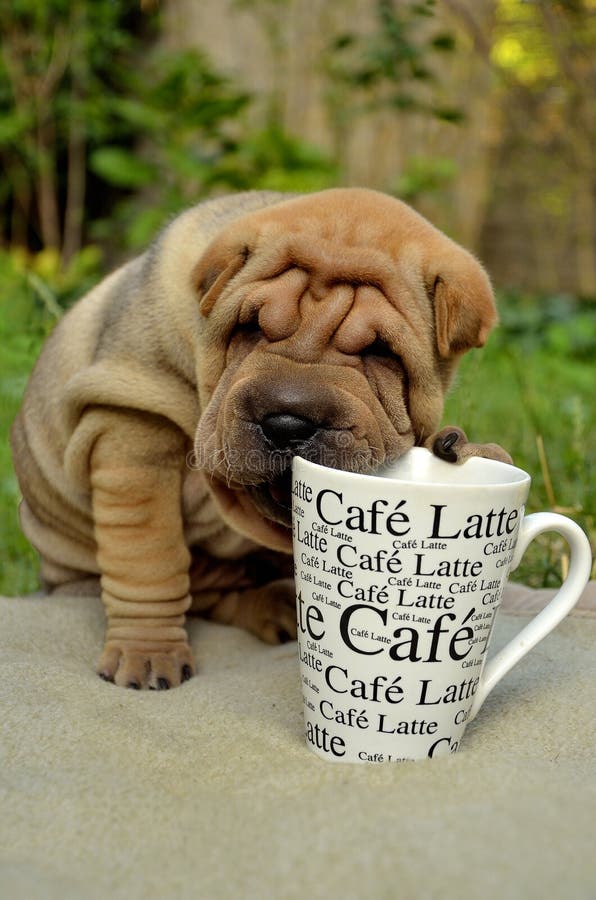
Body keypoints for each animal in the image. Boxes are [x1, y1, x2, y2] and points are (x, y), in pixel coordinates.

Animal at [11, 188, 510, 688]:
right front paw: (146, 652)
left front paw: (465, 449)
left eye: (380, 351)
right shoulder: (133, 426)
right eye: (249, 328)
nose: (287, 423)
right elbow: (148, 557)